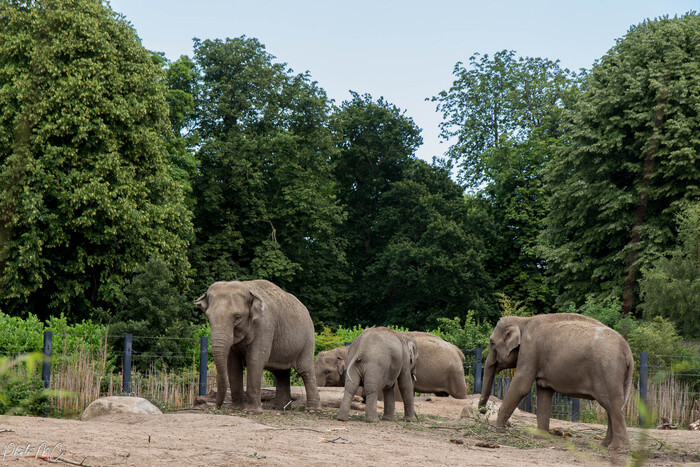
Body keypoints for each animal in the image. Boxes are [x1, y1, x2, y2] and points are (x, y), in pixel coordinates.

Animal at [194, 280, 320, 414]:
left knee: (305, 370)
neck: (247, 288)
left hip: (308, 338)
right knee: (281, 372)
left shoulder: (265, 326)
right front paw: (236, 409)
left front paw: (252, 411)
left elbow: (255, 360)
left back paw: (313, 410)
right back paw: (281, 408)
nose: (216, 407)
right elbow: (232, 364)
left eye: (237, 317)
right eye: (208, 317)